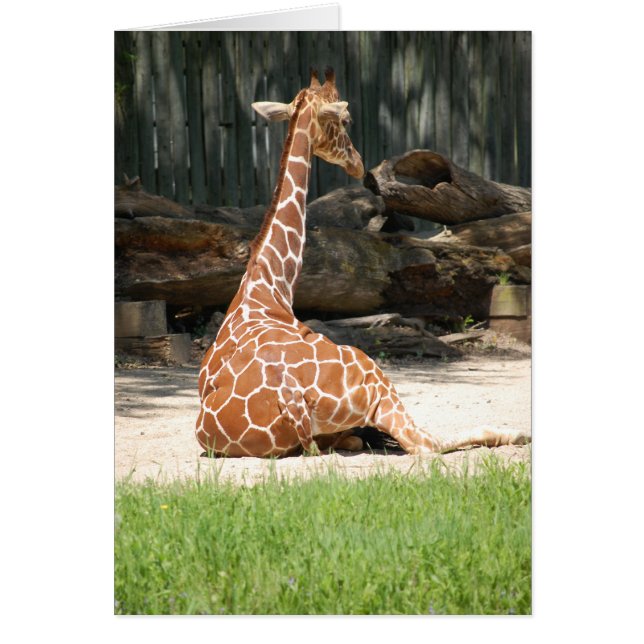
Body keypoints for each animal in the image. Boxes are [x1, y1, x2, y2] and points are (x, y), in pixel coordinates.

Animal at [196, 68, 529, 458]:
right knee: (423, 443)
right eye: (346, 121)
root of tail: (290, 399)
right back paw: (515, 432)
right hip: (373, 375)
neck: (268, 286)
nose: (358, 163)